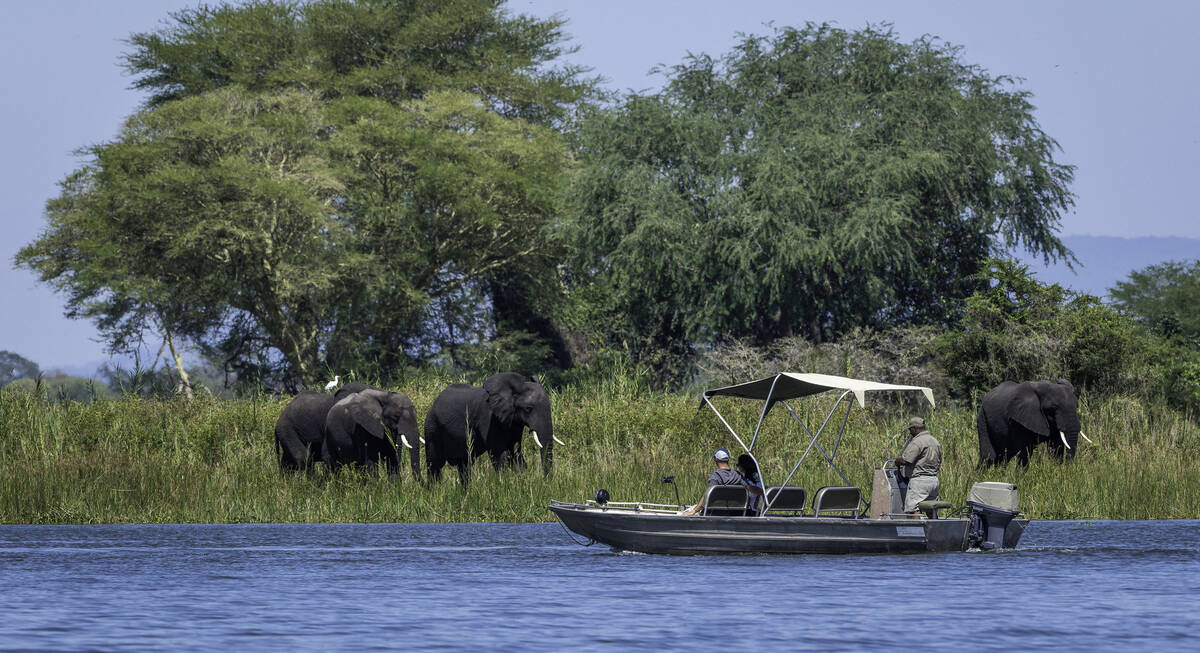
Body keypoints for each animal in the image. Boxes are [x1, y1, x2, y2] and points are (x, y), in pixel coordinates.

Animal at [424, 372, 559, 484]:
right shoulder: (489, 418)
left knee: (464, 465)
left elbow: (515, 452)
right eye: (528, 409)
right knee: (434, 465)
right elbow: (499, 454)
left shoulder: (513, 421)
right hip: (432, 427)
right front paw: (504, 484)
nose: (546, 483)